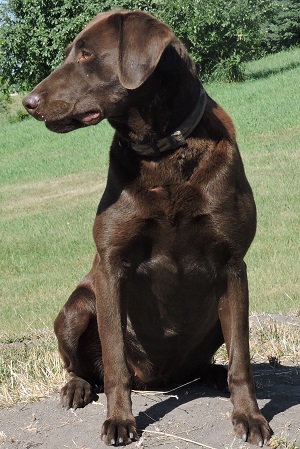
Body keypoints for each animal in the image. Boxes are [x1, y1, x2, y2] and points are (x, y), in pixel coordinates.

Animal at [23, 8, 270, 446]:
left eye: (86, 54)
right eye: (72, 51)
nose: (28, 102)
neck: (162, 154)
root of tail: (157, 380)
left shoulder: (233, 266)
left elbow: (242, 357)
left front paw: (249, 417)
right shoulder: (110, 267)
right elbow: (115, 360)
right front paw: (120, 421)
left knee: (216, 358)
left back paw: (214, 374)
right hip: (75, 308)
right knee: (85, 367)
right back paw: (78, 388)